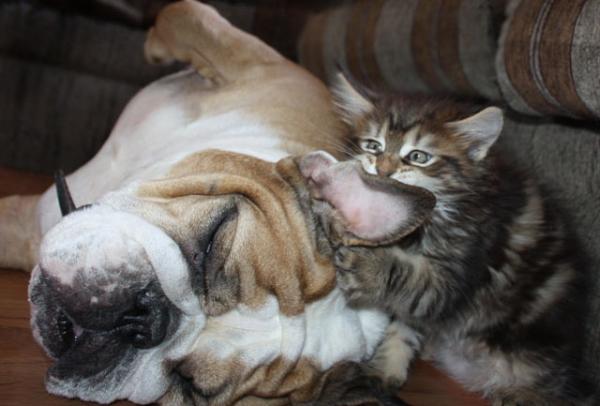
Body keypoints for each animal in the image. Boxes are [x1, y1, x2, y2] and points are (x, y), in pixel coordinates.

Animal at [330, 74, 592, 404]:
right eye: (373, 146)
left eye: (418, 156)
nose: (383, 169)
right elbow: (402, 325)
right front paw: (385, 370)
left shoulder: (463, 269)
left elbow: (411, 280)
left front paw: (368, 265)